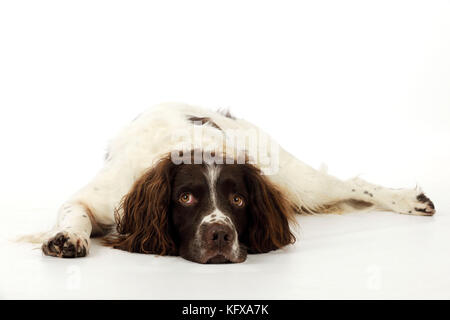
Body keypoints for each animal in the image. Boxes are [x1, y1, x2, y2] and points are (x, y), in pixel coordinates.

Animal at [22, 104, 436, 264]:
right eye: (185, 198)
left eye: (238, 200)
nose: (220, 235)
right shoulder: (99, 197)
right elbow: (75, 213)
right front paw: (67, 238)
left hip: (296, 180)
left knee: (350, 183)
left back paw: (409, 200)